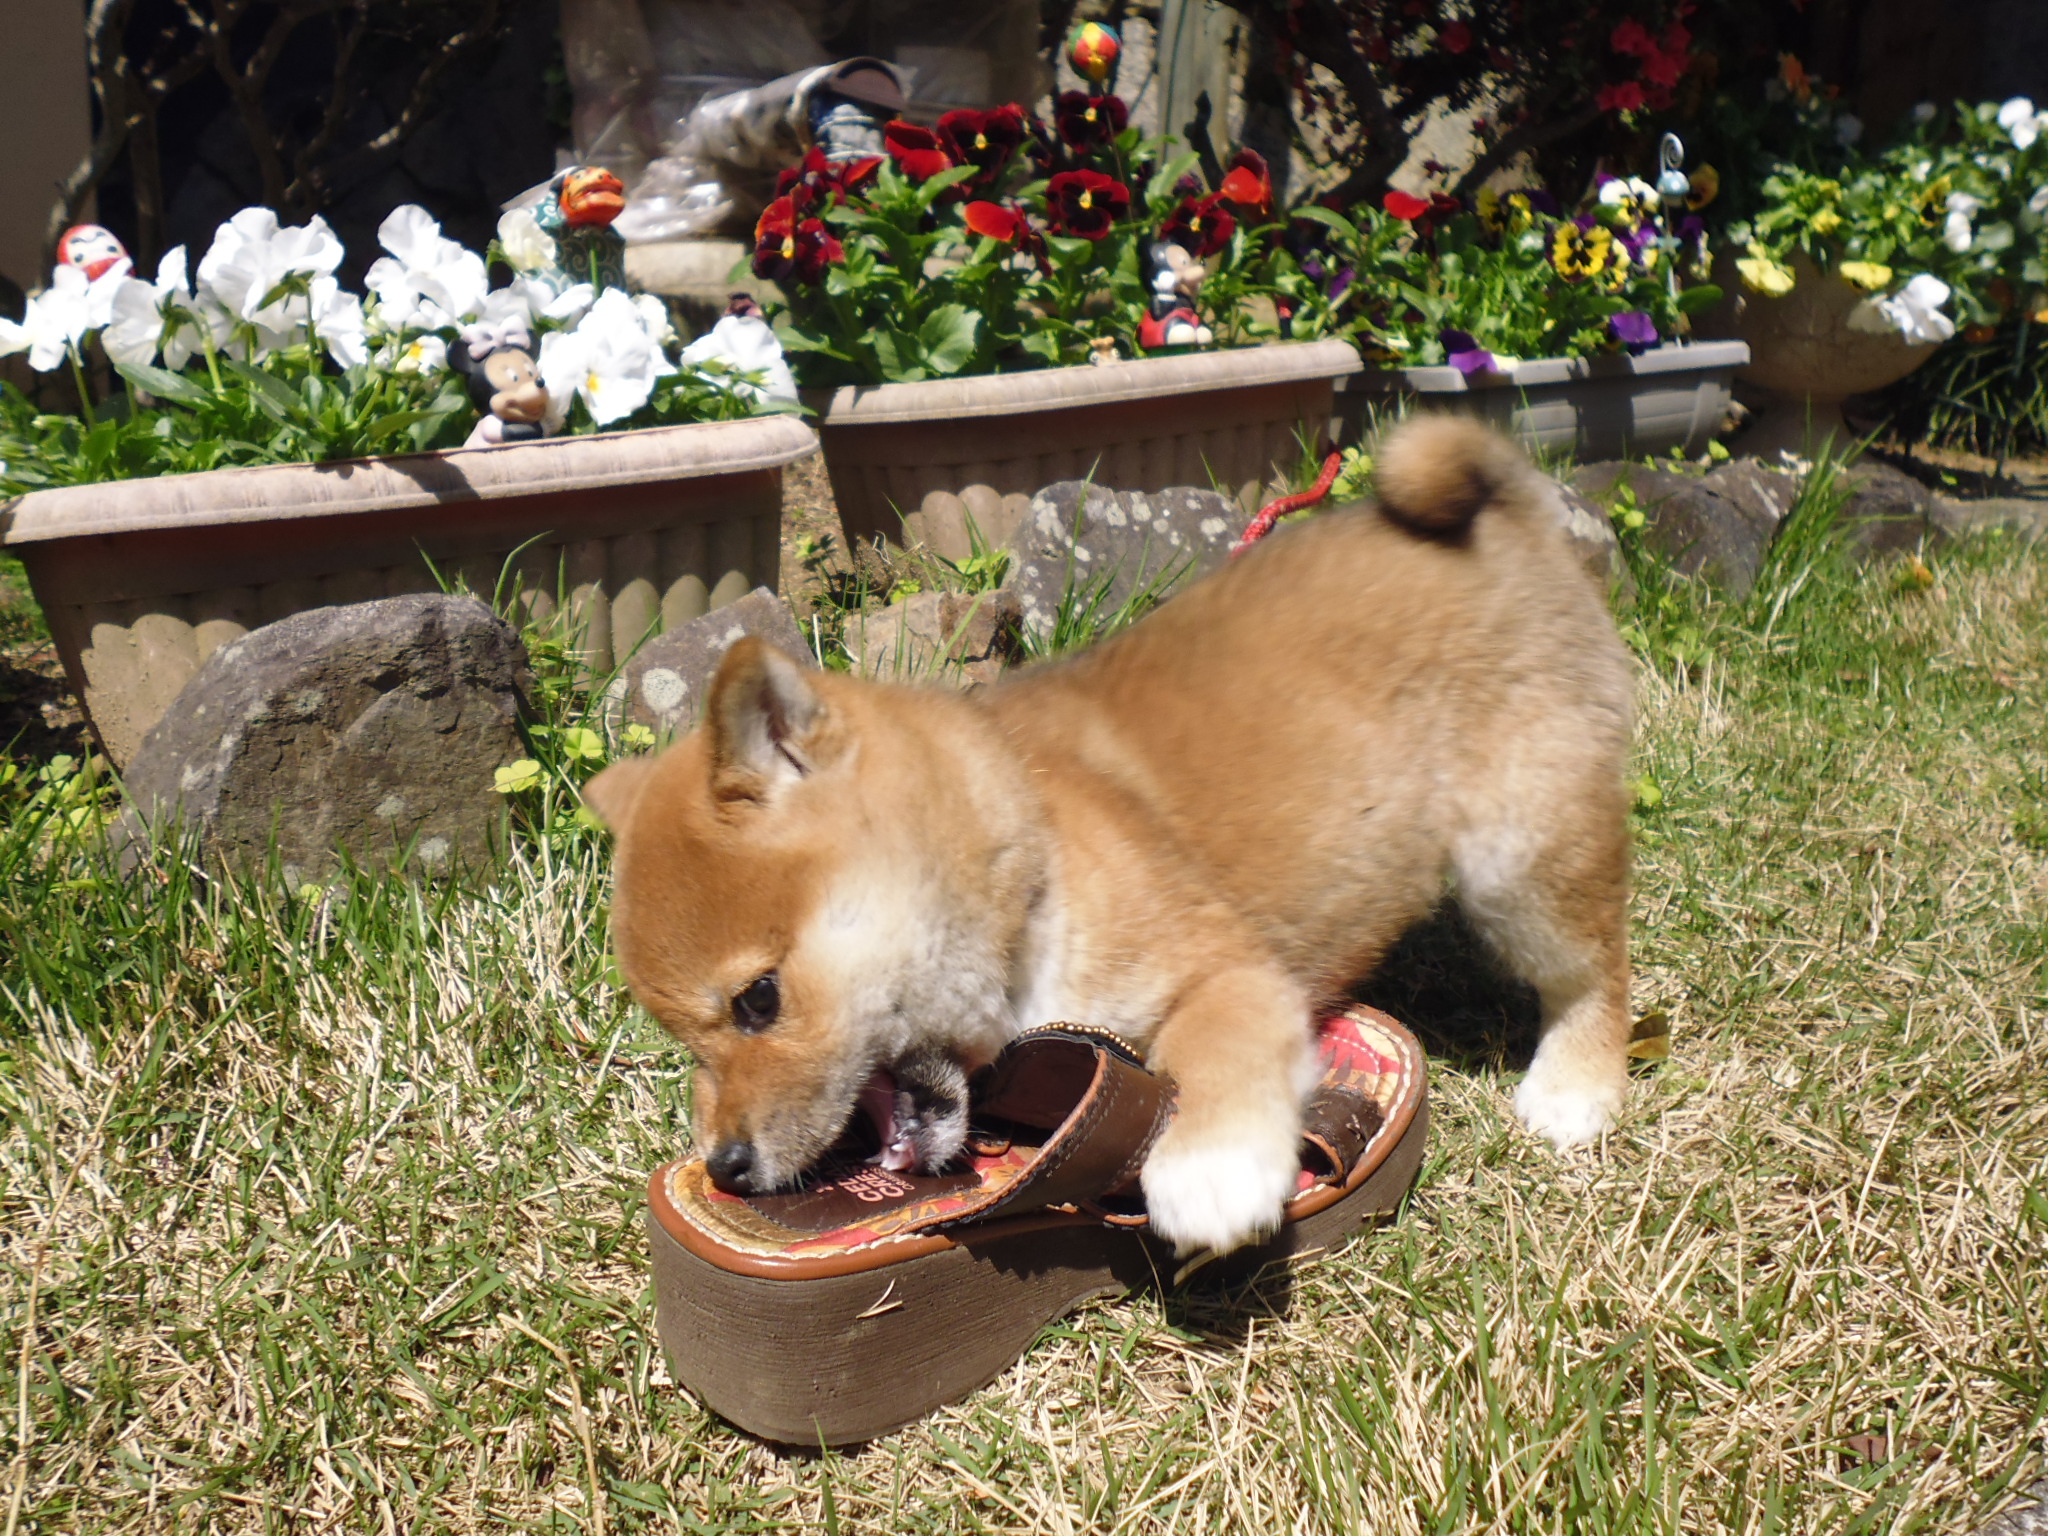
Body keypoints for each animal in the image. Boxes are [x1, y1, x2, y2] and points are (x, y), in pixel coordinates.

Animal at [589, 415, 1630, 1253]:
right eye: (679, 1036)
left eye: (758, 1000)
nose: (725, 1167)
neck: (1034, 853)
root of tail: (1504, 517)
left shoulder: (1232, 970)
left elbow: (1215, 1055)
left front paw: (1210, 1169)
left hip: (1522, 855)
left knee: (1596, 972)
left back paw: (1575, 1088)